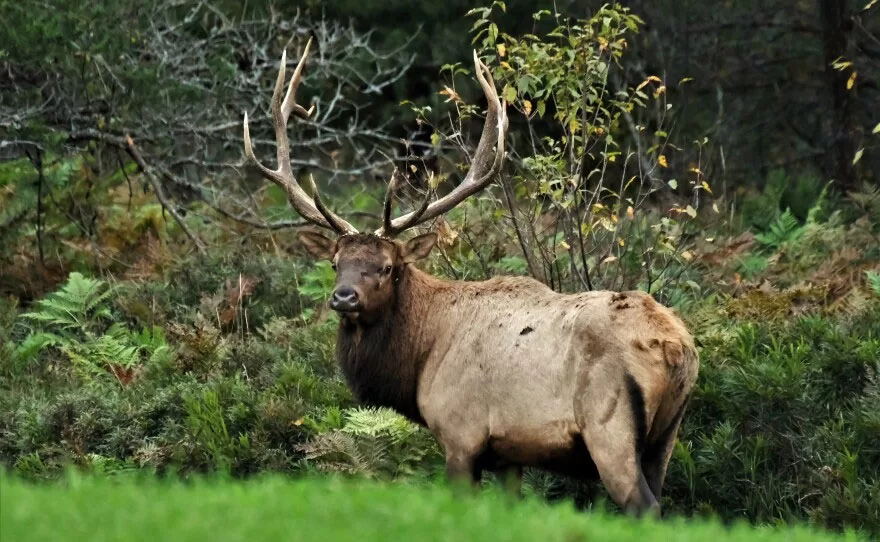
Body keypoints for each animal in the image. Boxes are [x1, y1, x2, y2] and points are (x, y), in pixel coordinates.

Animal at [241, 38, 700, 517]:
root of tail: (675, 347)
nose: (344, 297)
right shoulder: (512, 453)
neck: (421, 358)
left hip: (610, 426)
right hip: (665, 437)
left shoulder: (461, 434)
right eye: (336, 263)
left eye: (387, 267)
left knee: (644, 506)